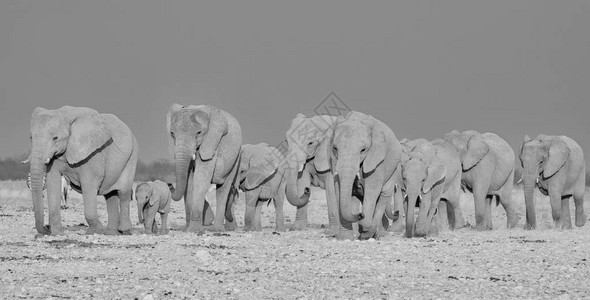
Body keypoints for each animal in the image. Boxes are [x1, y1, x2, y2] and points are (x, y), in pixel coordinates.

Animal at [25, 106, 138, 236]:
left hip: (132, 156)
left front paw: (95, 231)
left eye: (55, 138)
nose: (46, 227)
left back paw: (124, 230)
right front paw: (57, 233)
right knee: (110, 194)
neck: (64, 115)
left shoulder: (93, 152)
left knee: (123, 192)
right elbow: (53, 182)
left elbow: (89, 183)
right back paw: (111, 233)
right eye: (31, 138)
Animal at [165, 104, 242, 233]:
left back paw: (217, 230)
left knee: (223, 188)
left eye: (199, 132)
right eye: (172, 133)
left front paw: (195, 230)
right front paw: (187, 229)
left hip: (236, 157)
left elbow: (201, 177)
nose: (169, 184)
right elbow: (189, 181)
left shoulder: (211, 143)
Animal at [330, 110, 404, 239]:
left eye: (363, 150)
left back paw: (372, 234)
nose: (360, 214)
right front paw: (345, 238)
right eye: (335, 148)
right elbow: (339, 187)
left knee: (384, 194)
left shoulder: (377, 159)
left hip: (393, 169)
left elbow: (372, 188)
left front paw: (365, 230)